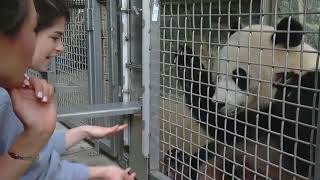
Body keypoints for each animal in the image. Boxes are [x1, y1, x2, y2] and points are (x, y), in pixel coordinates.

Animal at [164, 16, 318, 179]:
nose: (218, 103)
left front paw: (290, 89)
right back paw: (178, 164)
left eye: (239, 77)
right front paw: (187, 62)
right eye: (218, 76)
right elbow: (227, 127)